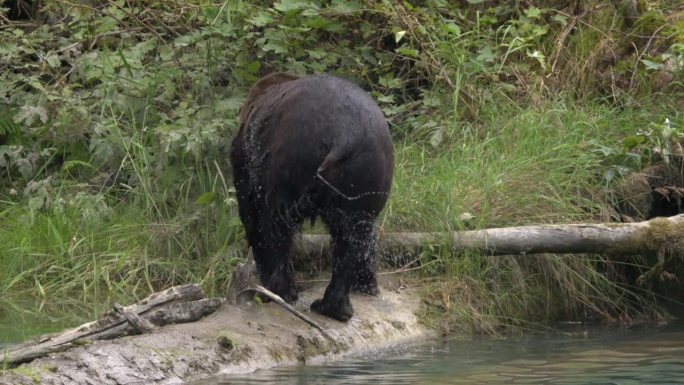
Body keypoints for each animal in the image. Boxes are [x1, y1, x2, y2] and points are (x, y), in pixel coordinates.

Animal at [231, 73, 396, 320]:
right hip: (368, 173)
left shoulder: (247, 171)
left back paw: (280, 290)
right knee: (353, 238)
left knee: (277, 228)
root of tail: (345, 136)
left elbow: (253, 220)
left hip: (289, 162)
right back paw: (338, 305)